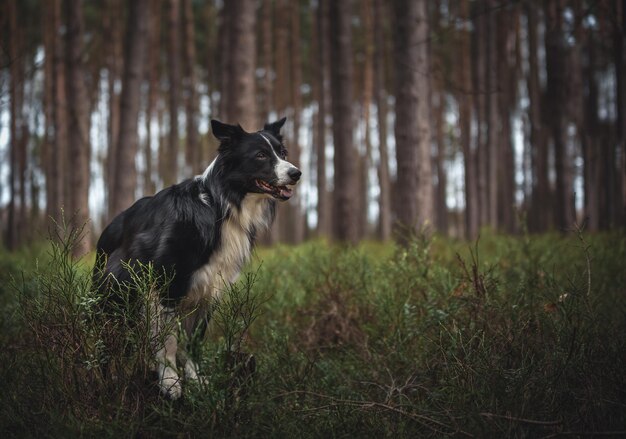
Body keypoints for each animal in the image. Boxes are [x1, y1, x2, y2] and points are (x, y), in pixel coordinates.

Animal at [91, 118, 298, 400]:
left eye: (283, 153)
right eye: (260, 155)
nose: (297, 173)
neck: (220, 206)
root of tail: (109, 227)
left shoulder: (209, 291)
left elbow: (193, 341)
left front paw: (195, 379)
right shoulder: (168, 286)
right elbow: (168, 341)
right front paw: (170, 382)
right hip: (116, 295)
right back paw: (108, 379)